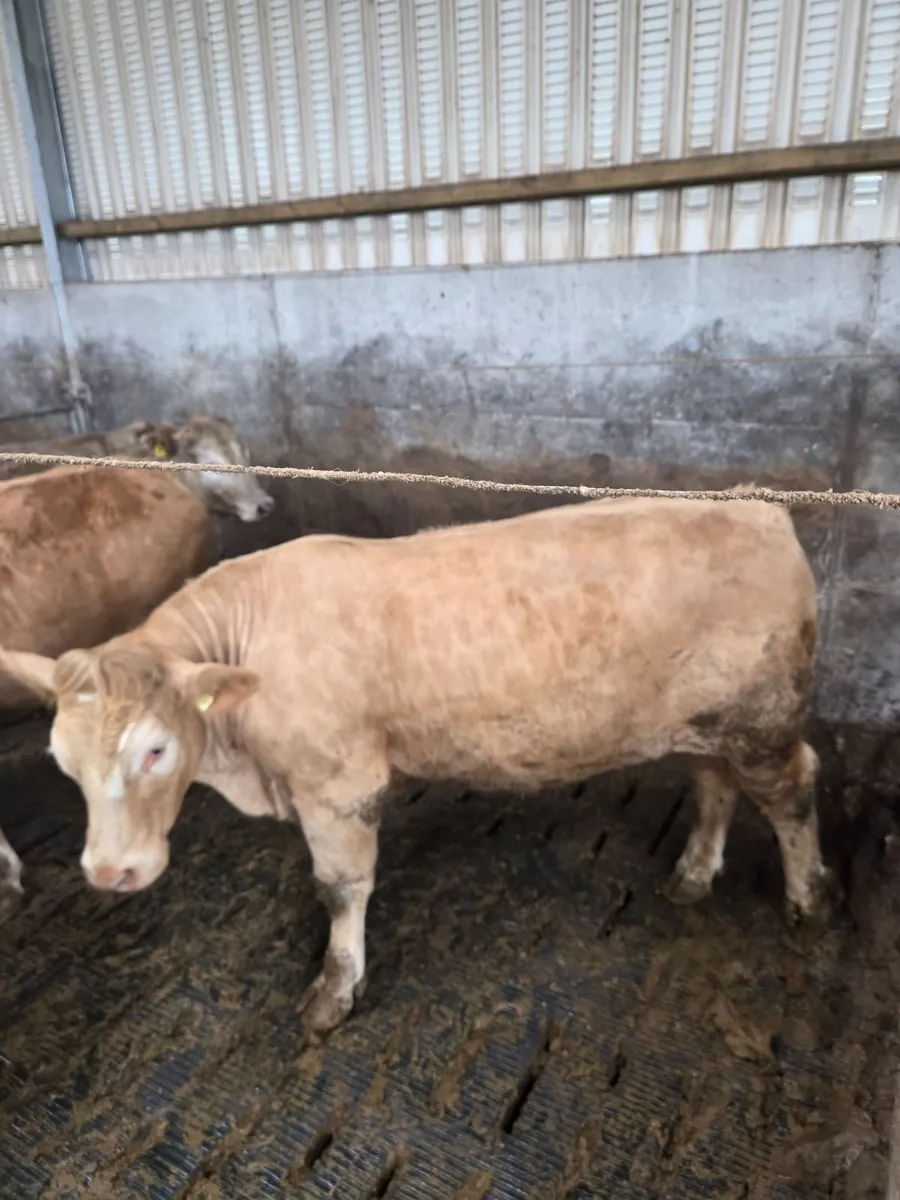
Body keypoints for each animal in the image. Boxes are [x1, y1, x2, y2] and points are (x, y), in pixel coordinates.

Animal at [0, 496, 835, 1035]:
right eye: (62, 761)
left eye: (155, 748)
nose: (110, 872)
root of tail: (762, 512)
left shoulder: (339, 782)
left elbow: (339, 888)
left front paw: (335, 990)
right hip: (707, 724)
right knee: (714, 784)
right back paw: (694, 873)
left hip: (763, 722)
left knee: (794, 791)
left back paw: (807, 899)